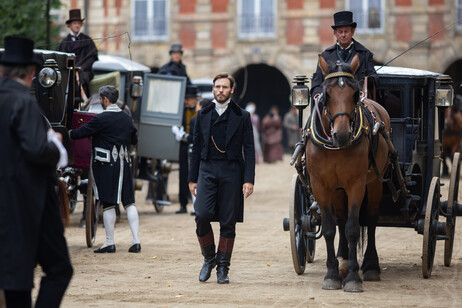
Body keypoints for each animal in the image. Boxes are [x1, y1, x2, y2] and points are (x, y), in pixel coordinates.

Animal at [306, 55, 390, 292]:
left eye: (354, 94)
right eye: (326, 94)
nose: (342, 135)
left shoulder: (356, 184)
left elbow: (353, 228)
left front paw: (353, 277)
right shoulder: (321, 186)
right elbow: (329, 228)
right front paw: (333, 274)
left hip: (374, 182)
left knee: (370, 219)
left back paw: (370, 265)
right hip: (337, 189)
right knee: (341, 220)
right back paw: (343, 261)